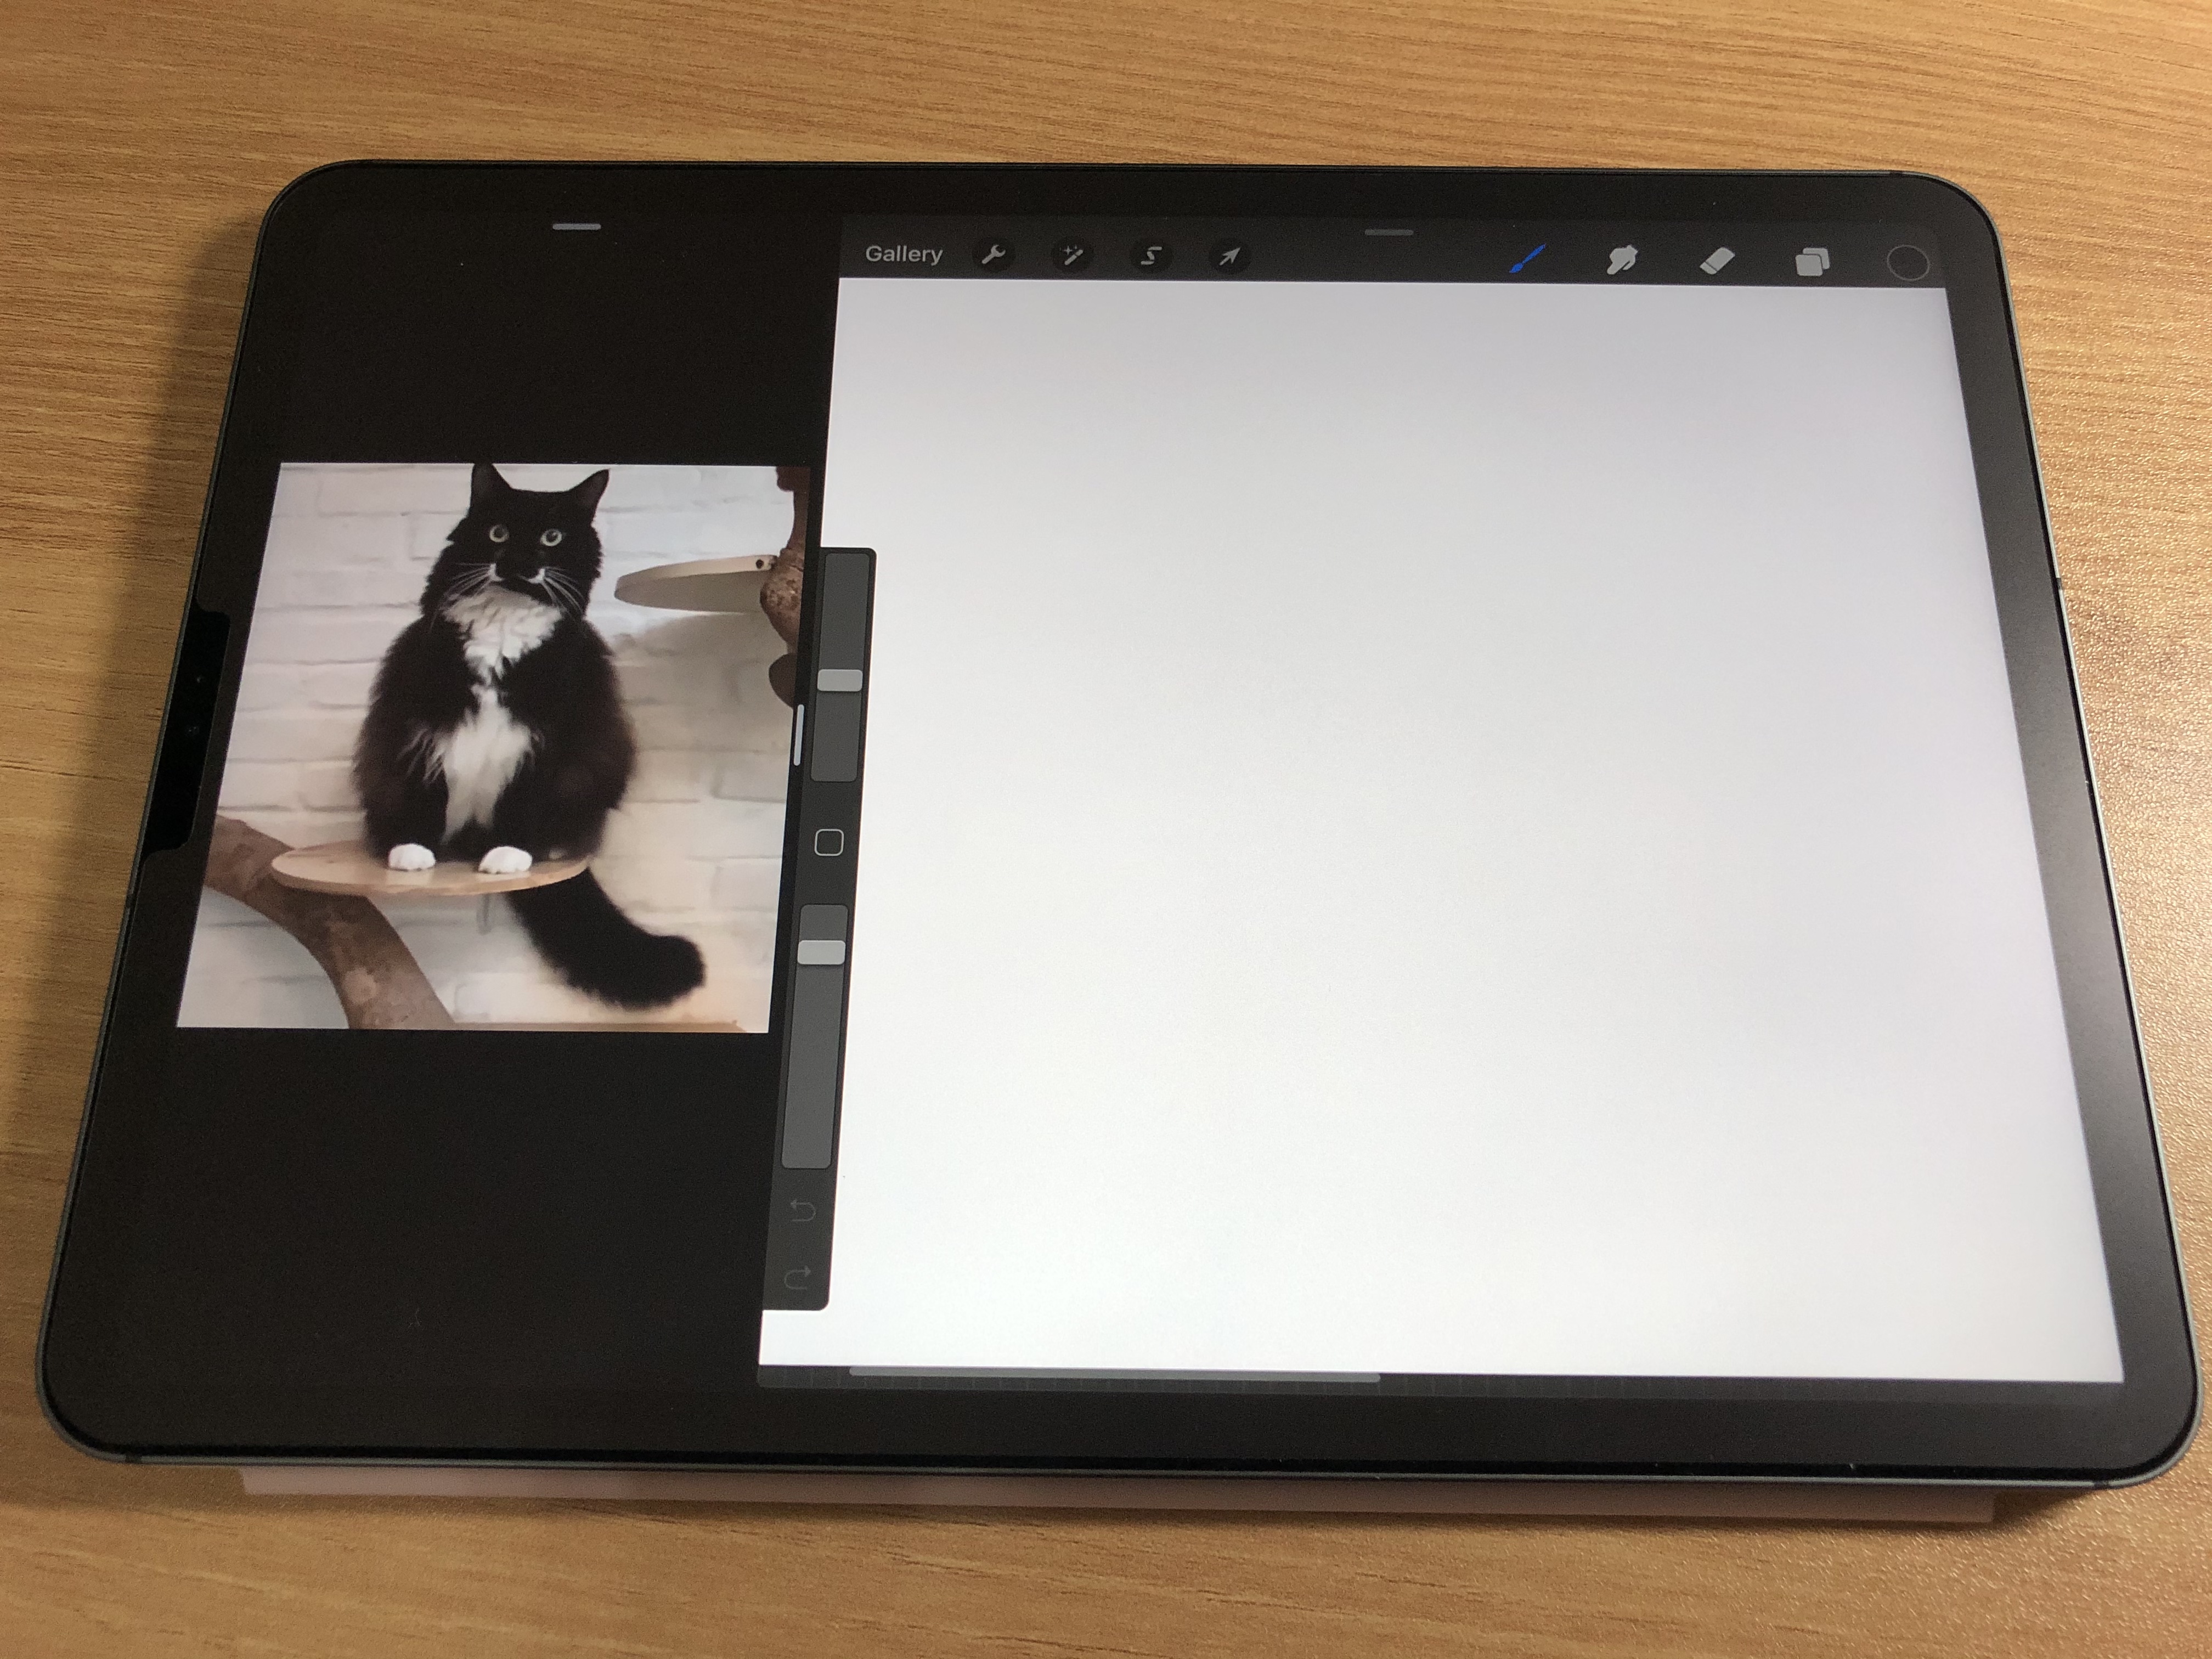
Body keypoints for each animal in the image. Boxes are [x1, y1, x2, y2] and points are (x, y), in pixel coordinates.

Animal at [353, 463, 704, 1010]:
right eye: (498, 533)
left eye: (551, 538)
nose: (518, 562)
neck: (502, 632)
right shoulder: (423, 721)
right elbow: (425, 790)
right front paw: (413, 852)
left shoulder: (549, 737)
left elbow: (525, 799)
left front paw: (511, 854)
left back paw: (536, 850)